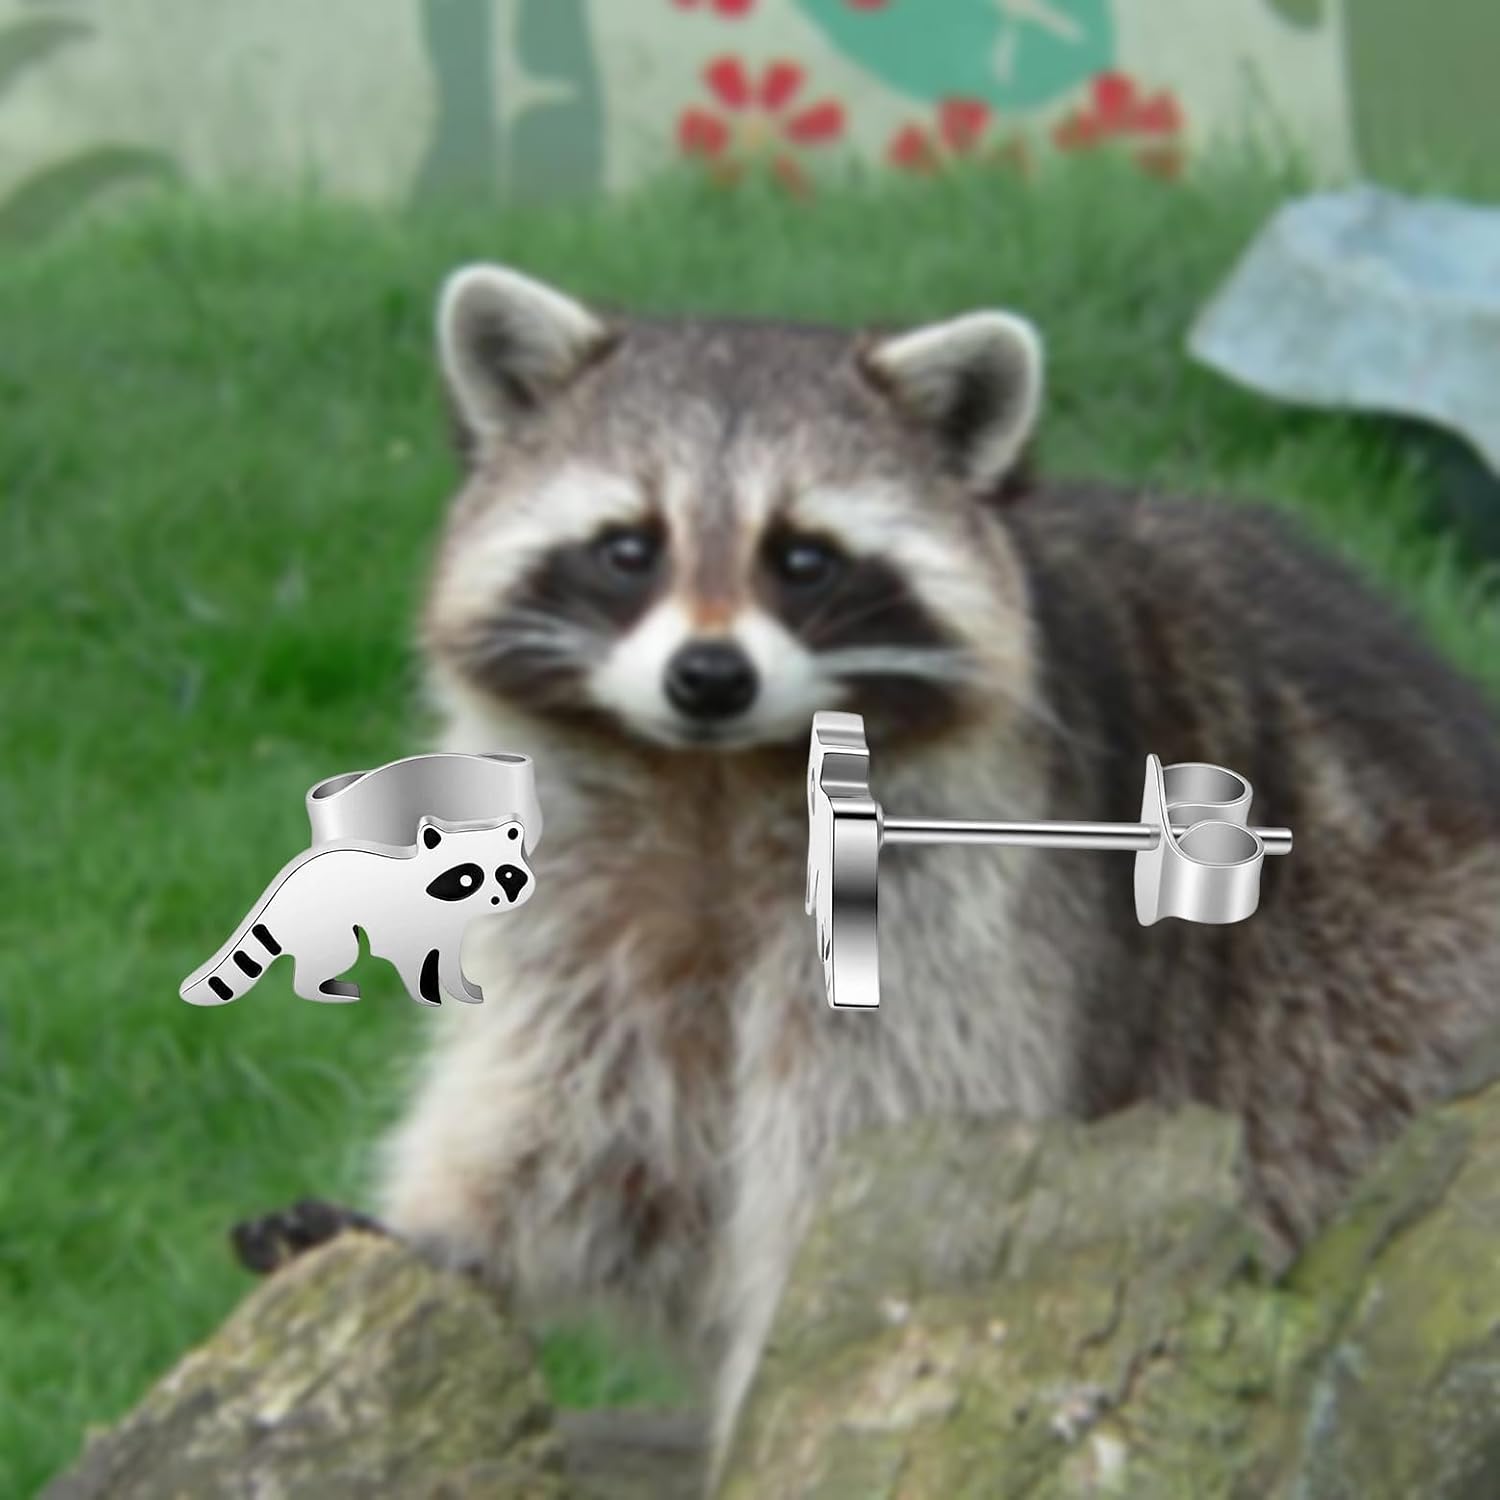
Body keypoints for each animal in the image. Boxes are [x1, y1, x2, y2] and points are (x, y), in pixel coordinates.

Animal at [251, 264, 1500, 1484]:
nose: (709, 676)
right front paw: (451, 1227)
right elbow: (574, 1107)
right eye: (628, 548)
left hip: (1380, 1001)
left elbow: (865, 1149)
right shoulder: (586, 890)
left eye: (803, 559)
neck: (710, 778)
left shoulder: (963, 895)